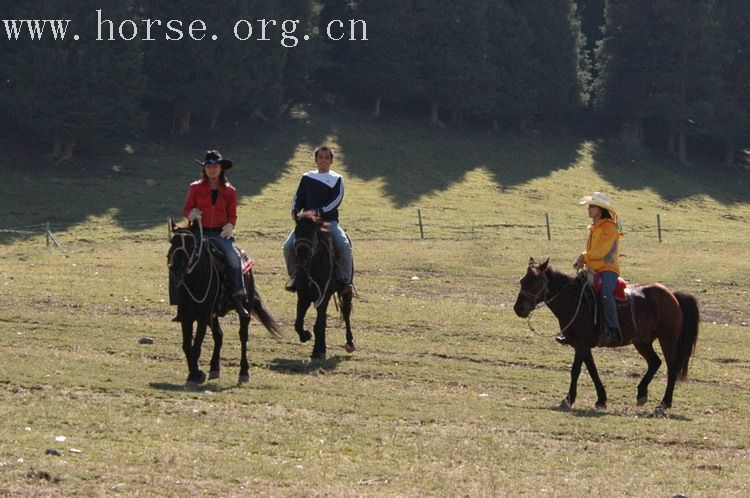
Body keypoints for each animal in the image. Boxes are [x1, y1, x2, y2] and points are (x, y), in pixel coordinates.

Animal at [167, 219, 282, 386]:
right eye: (173, 242)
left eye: (191, 244)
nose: (177, 267)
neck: (195, 279)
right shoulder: (186, 315)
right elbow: (187, 346)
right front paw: (196, 373)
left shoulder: (203, 315)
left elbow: (197, 345)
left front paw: (195, 374)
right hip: (213, 316)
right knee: (219, 336)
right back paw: (214, 368)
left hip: (244, 309)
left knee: (243, 336)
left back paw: (244, 372)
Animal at [292, 218, 354, 358]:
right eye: (296, 232)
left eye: (311, 233)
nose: (302, 258)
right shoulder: (303, 296)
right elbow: (298, 323)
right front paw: (306, 336)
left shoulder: (324, 296)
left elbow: (318, 324)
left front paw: (317, 351)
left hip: (346, 290)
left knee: (346, 311)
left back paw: (349, 343)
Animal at [516, 258, 704, 414]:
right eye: (522, 281)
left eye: (535, 282)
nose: (519, 309)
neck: (575, 301)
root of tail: (673, 296)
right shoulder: (582, 346)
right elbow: (592, 370)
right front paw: (601, 399)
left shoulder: (582, 345)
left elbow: (575, 370)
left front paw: (568, 399)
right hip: (642, 341)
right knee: (654, 362)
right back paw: (642, 394)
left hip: (668, 339)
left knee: (672, 368)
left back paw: (664, 404)